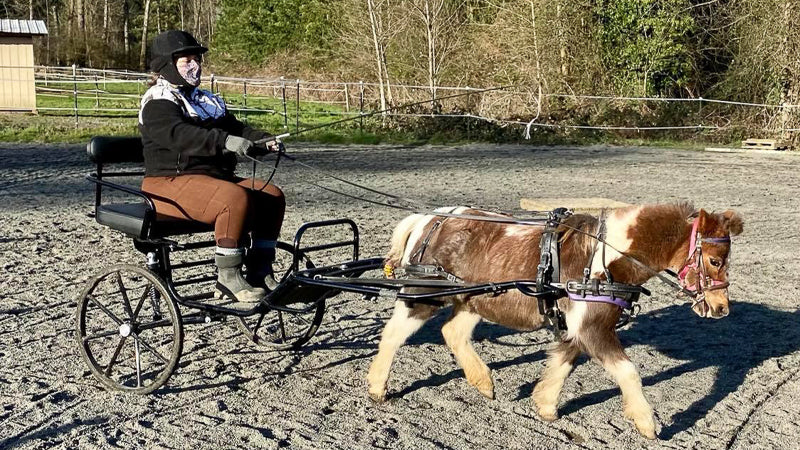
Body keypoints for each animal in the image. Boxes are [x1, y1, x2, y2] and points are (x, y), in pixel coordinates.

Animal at [368, 203, 744, 440]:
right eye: (714, 260)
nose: (722, 308)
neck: (603, 260)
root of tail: (431, 220)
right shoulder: (594, 329)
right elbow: (628, 372)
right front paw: (646, 423)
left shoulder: (578, 328)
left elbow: (563, 364)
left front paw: (545, 405)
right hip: (422, 296)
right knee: (393, 335)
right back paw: (376, 387)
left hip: (474, 299)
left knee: (453, 333)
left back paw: (483, 383)